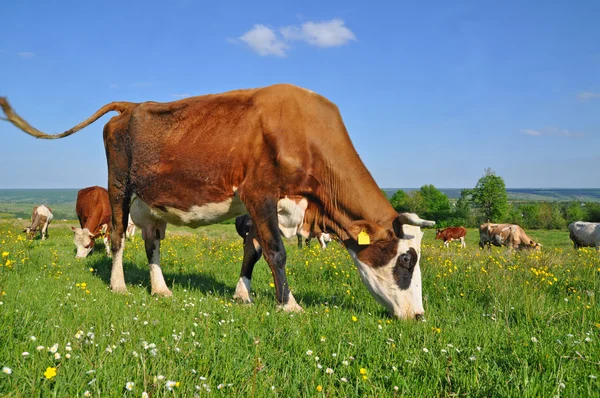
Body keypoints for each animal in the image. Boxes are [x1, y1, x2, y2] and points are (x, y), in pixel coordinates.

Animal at [0, 84, 434, 320]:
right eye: (406, 260)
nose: (418, 316)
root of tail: (132, 105)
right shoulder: (259, 193)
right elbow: (275, 252)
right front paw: (289, 305)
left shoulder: (266, 207)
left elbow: (253, 250)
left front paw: (243, 295)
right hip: (119, 187)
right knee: (118, 237)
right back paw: (119, 285)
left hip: (150, 204)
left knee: (152, 244)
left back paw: (161, 290)